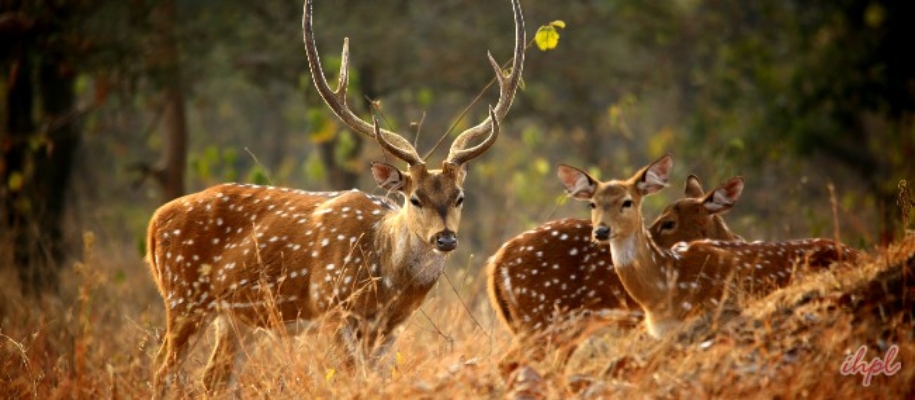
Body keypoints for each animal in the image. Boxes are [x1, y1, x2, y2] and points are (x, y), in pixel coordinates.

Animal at [146, 0, 525, 395]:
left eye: (460, 196)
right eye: (415, 198)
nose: (445, 238)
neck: (388, 283)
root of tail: (155, 222)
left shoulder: (389, 329)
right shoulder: (332, 307)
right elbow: (350, 377)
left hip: (238, 317)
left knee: (212, 378)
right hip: (184, 296)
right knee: (163, 368)